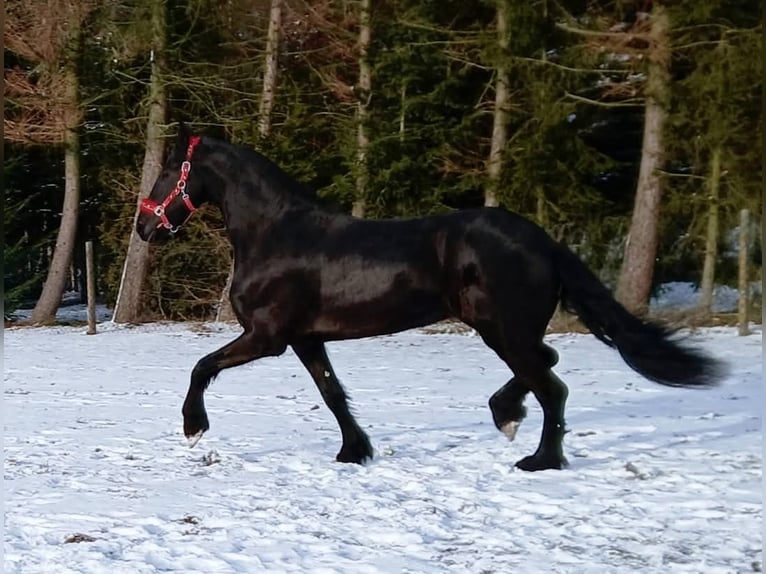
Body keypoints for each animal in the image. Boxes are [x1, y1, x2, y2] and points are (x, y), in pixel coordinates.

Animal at [136, 124, 728, 470]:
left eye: (167, 171)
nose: (144, 227)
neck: (276, 234)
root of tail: (544, 241)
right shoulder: (305, 339)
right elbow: (332, 393)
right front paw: (355, 452)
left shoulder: (266, 336)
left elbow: (202, 365)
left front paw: (193, 428)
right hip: (508, 329)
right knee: (546, 364)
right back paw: (506, 415)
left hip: (501, 329)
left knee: (552, 385)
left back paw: (539, 458)